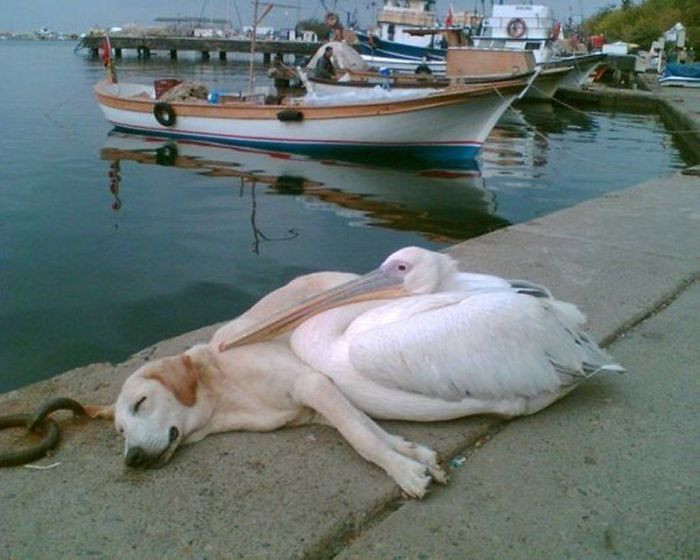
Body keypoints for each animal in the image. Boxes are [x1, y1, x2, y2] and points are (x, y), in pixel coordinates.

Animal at [90, 272, 446, 498]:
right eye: (120, 431)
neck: (222, 390)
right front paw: (415, 456)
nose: (132, 459)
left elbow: (363, 438)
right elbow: (367, 427)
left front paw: (403, 471)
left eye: (141, 402)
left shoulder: (312, 383)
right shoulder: (319, 401)